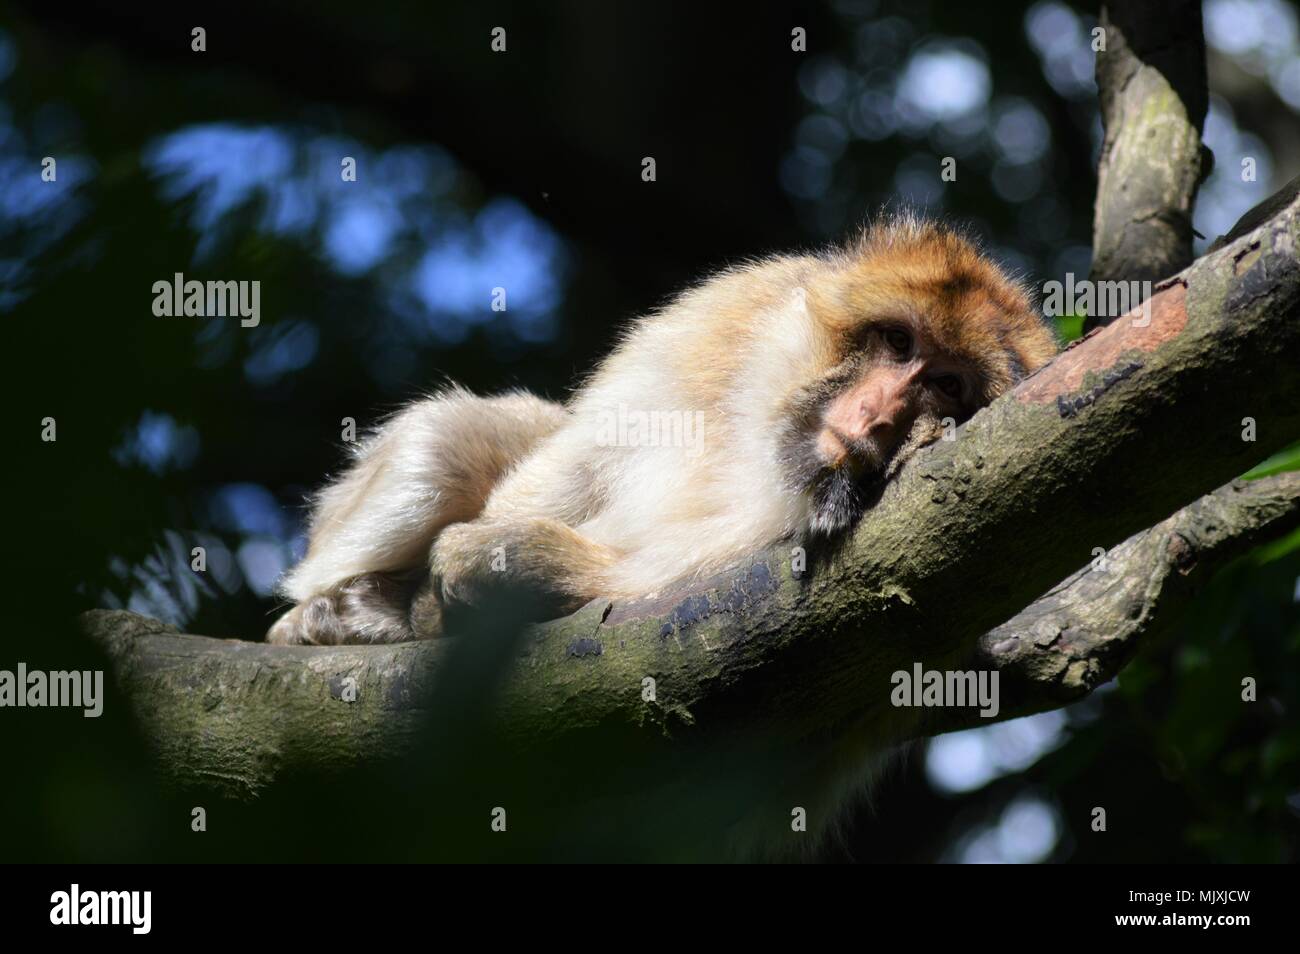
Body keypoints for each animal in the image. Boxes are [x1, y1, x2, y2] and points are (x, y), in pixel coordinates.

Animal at [267, 213, 1058, 646]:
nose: (881, 414)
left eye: (947, 385)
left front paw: (510, 564)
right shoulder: (731, 313)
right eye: (898, 342)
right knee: (444, 443)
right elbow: (581, 459)